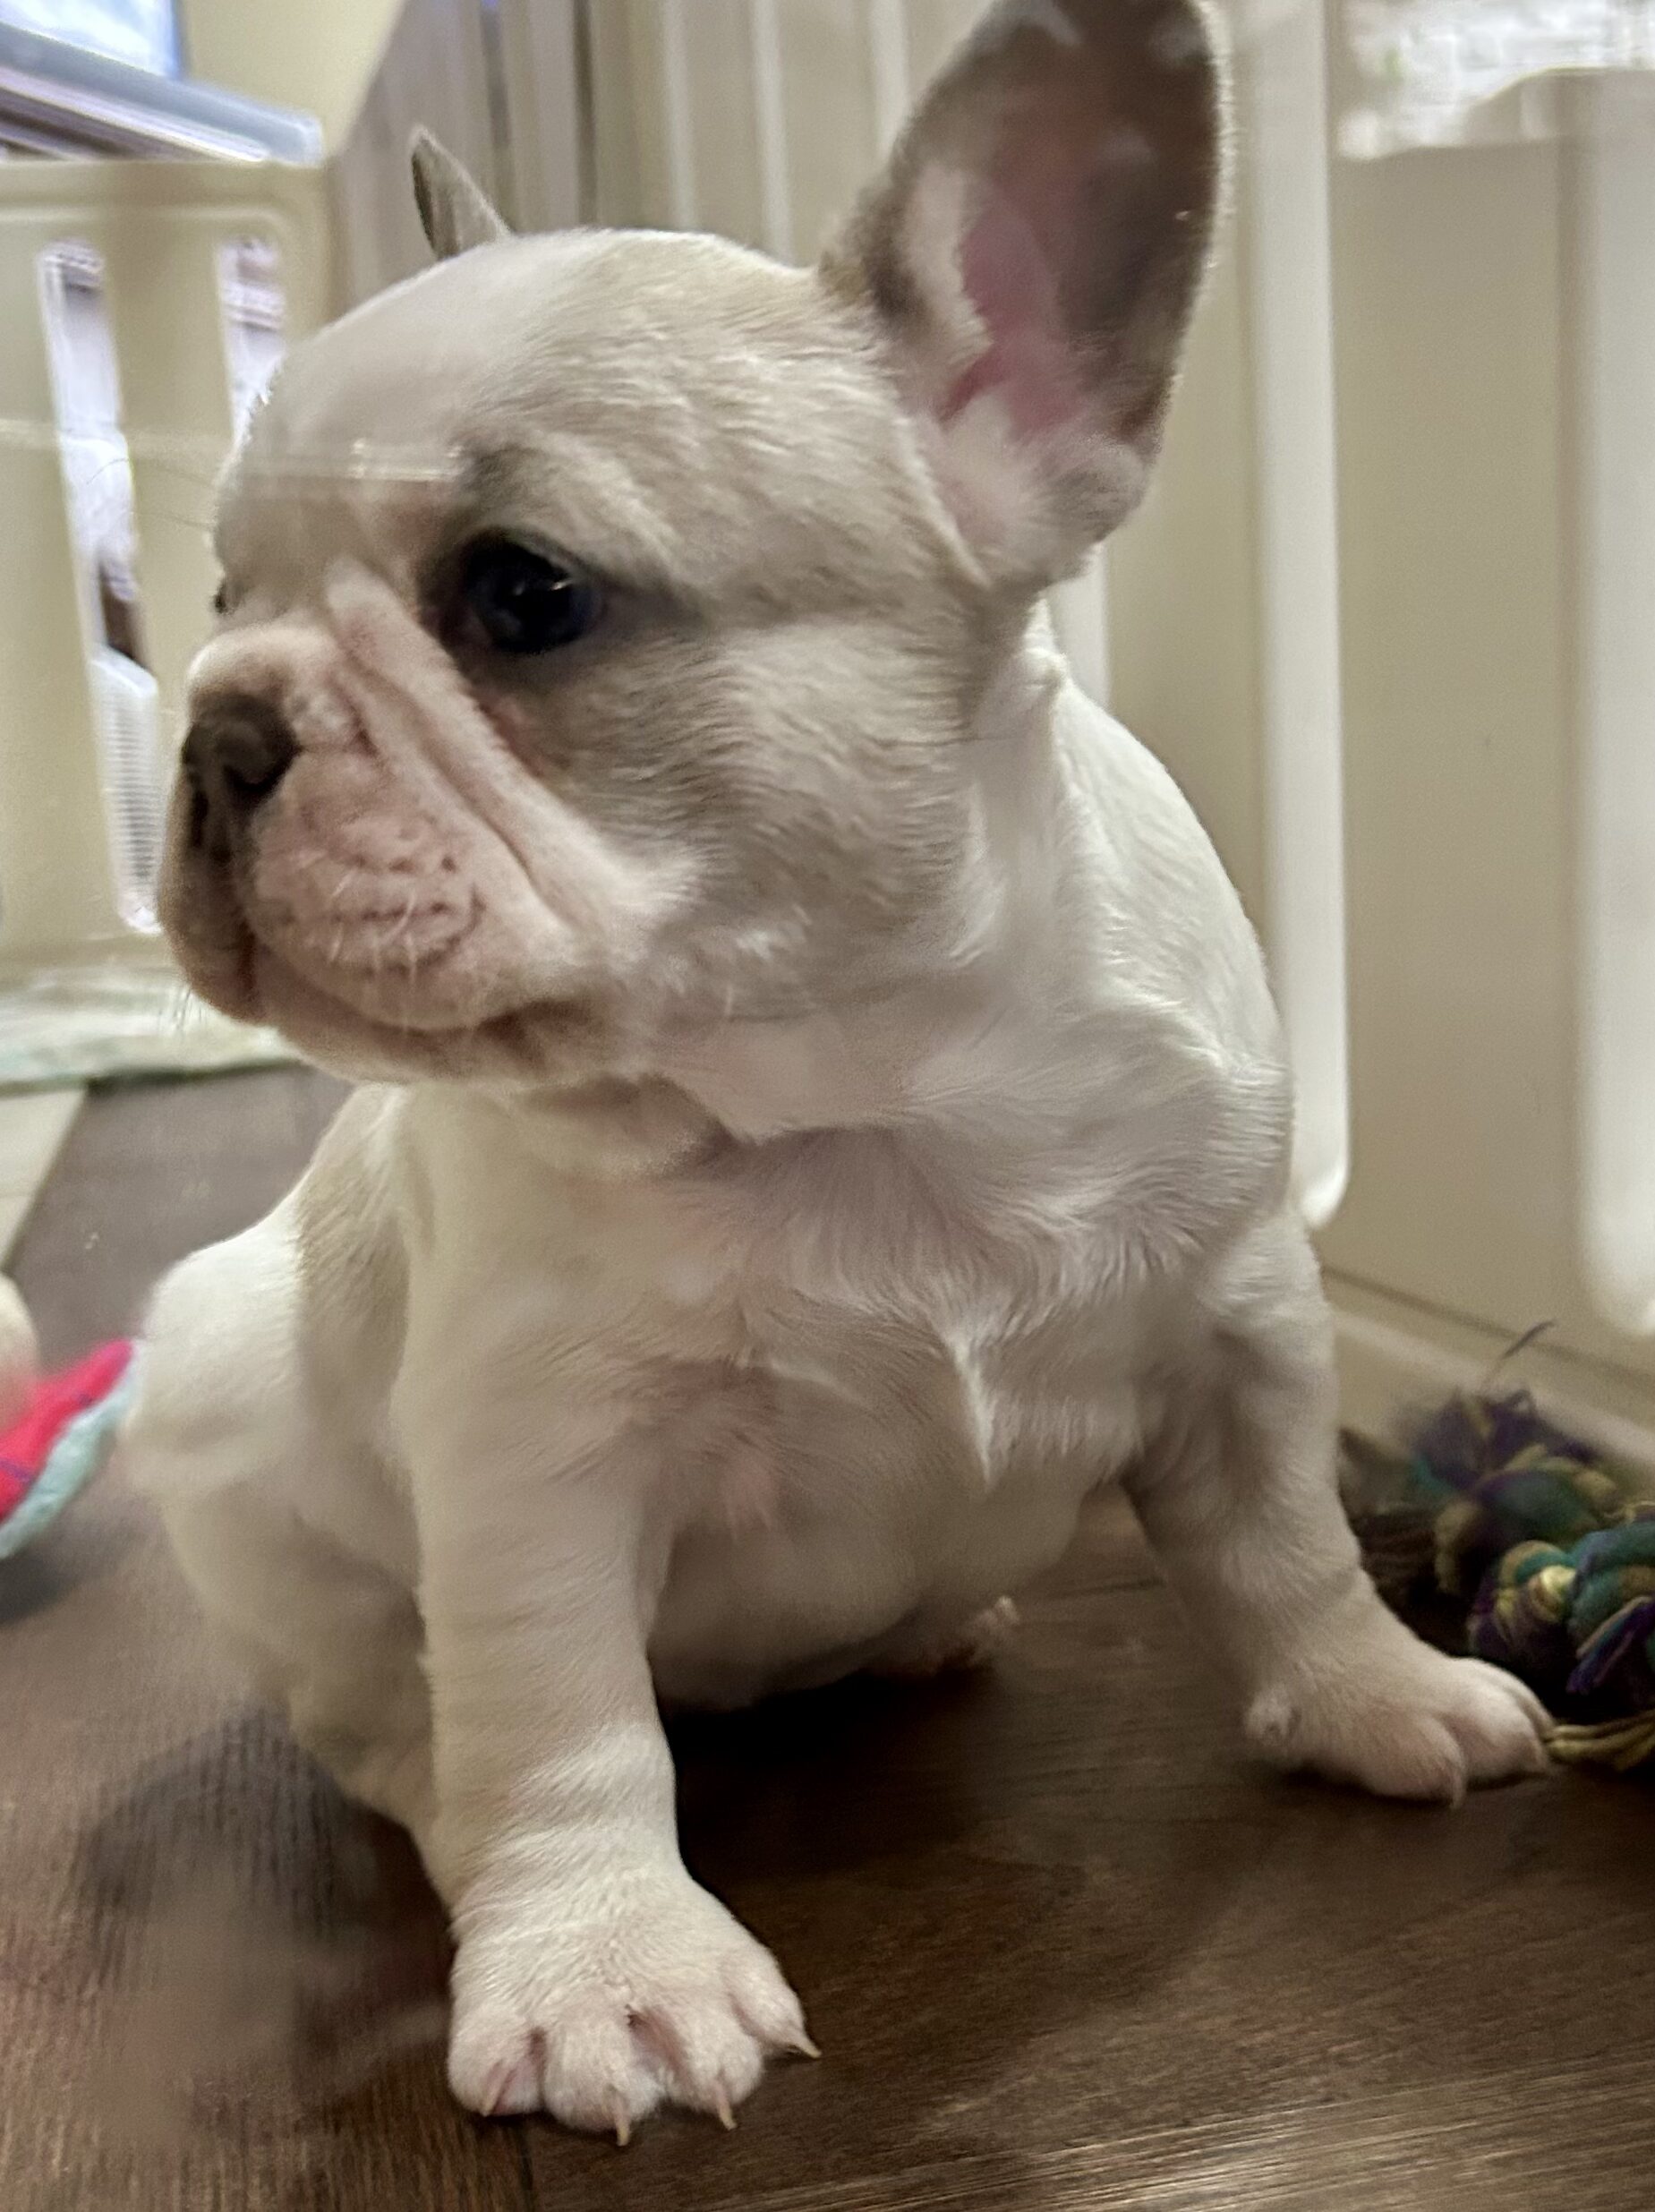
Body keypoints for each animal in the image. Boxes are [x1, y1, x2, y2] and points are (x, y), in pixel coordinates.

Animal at [71, 0, 1549, 2136]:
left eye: (524, 593)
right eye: (214, 600)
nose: (219, 726)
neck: (872, 1081)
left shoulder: (1249, 1321)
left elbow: (1286, 1544)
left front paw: (1375, 1695)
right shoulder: (535, 1464)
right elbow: (563, 1720)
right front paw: (604, 1961)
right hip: (231, 1417)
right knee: (396, 1716)